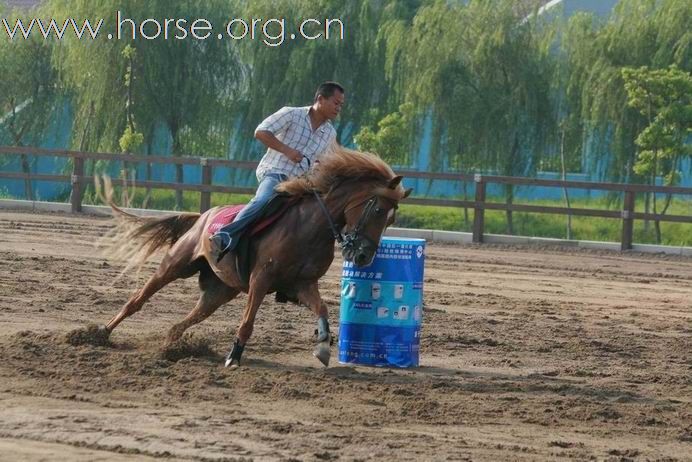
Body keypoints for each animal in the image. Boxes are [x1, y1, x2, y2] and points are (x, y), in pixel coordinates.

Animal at [100, 146, 408, 370]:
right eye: (378, 210)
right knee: (137, 300)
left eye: (393, 219)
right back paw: (101, 332)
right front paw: (233, 357)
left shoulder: (303, 284)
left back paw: (171, 347)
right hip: (175, 265)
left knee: (187, 320)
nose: (364, 256)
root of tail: (203, 216)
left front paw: (322, 346)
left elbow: (322, 309)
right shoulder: (261, 279)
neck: (309, 226)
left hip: (220, 290)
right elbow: (248, 322)